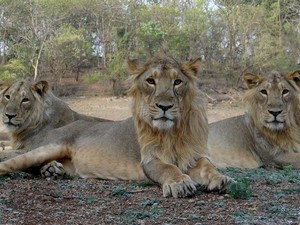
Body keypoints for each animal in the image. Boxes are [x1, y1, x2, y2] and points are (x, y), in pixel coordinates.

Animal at [0, 55, 231, 198]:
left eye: (177, 82)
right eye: (151, 81)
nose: (164, 106)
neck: (174, 131)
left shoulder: (197, 155)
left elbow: (209, 167)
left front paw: (222, 179)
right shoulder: (150, 159)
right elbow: (169, 168)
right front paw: (180, 183)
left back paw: (52, 170)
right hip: (48, 148)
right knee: (13, 163)